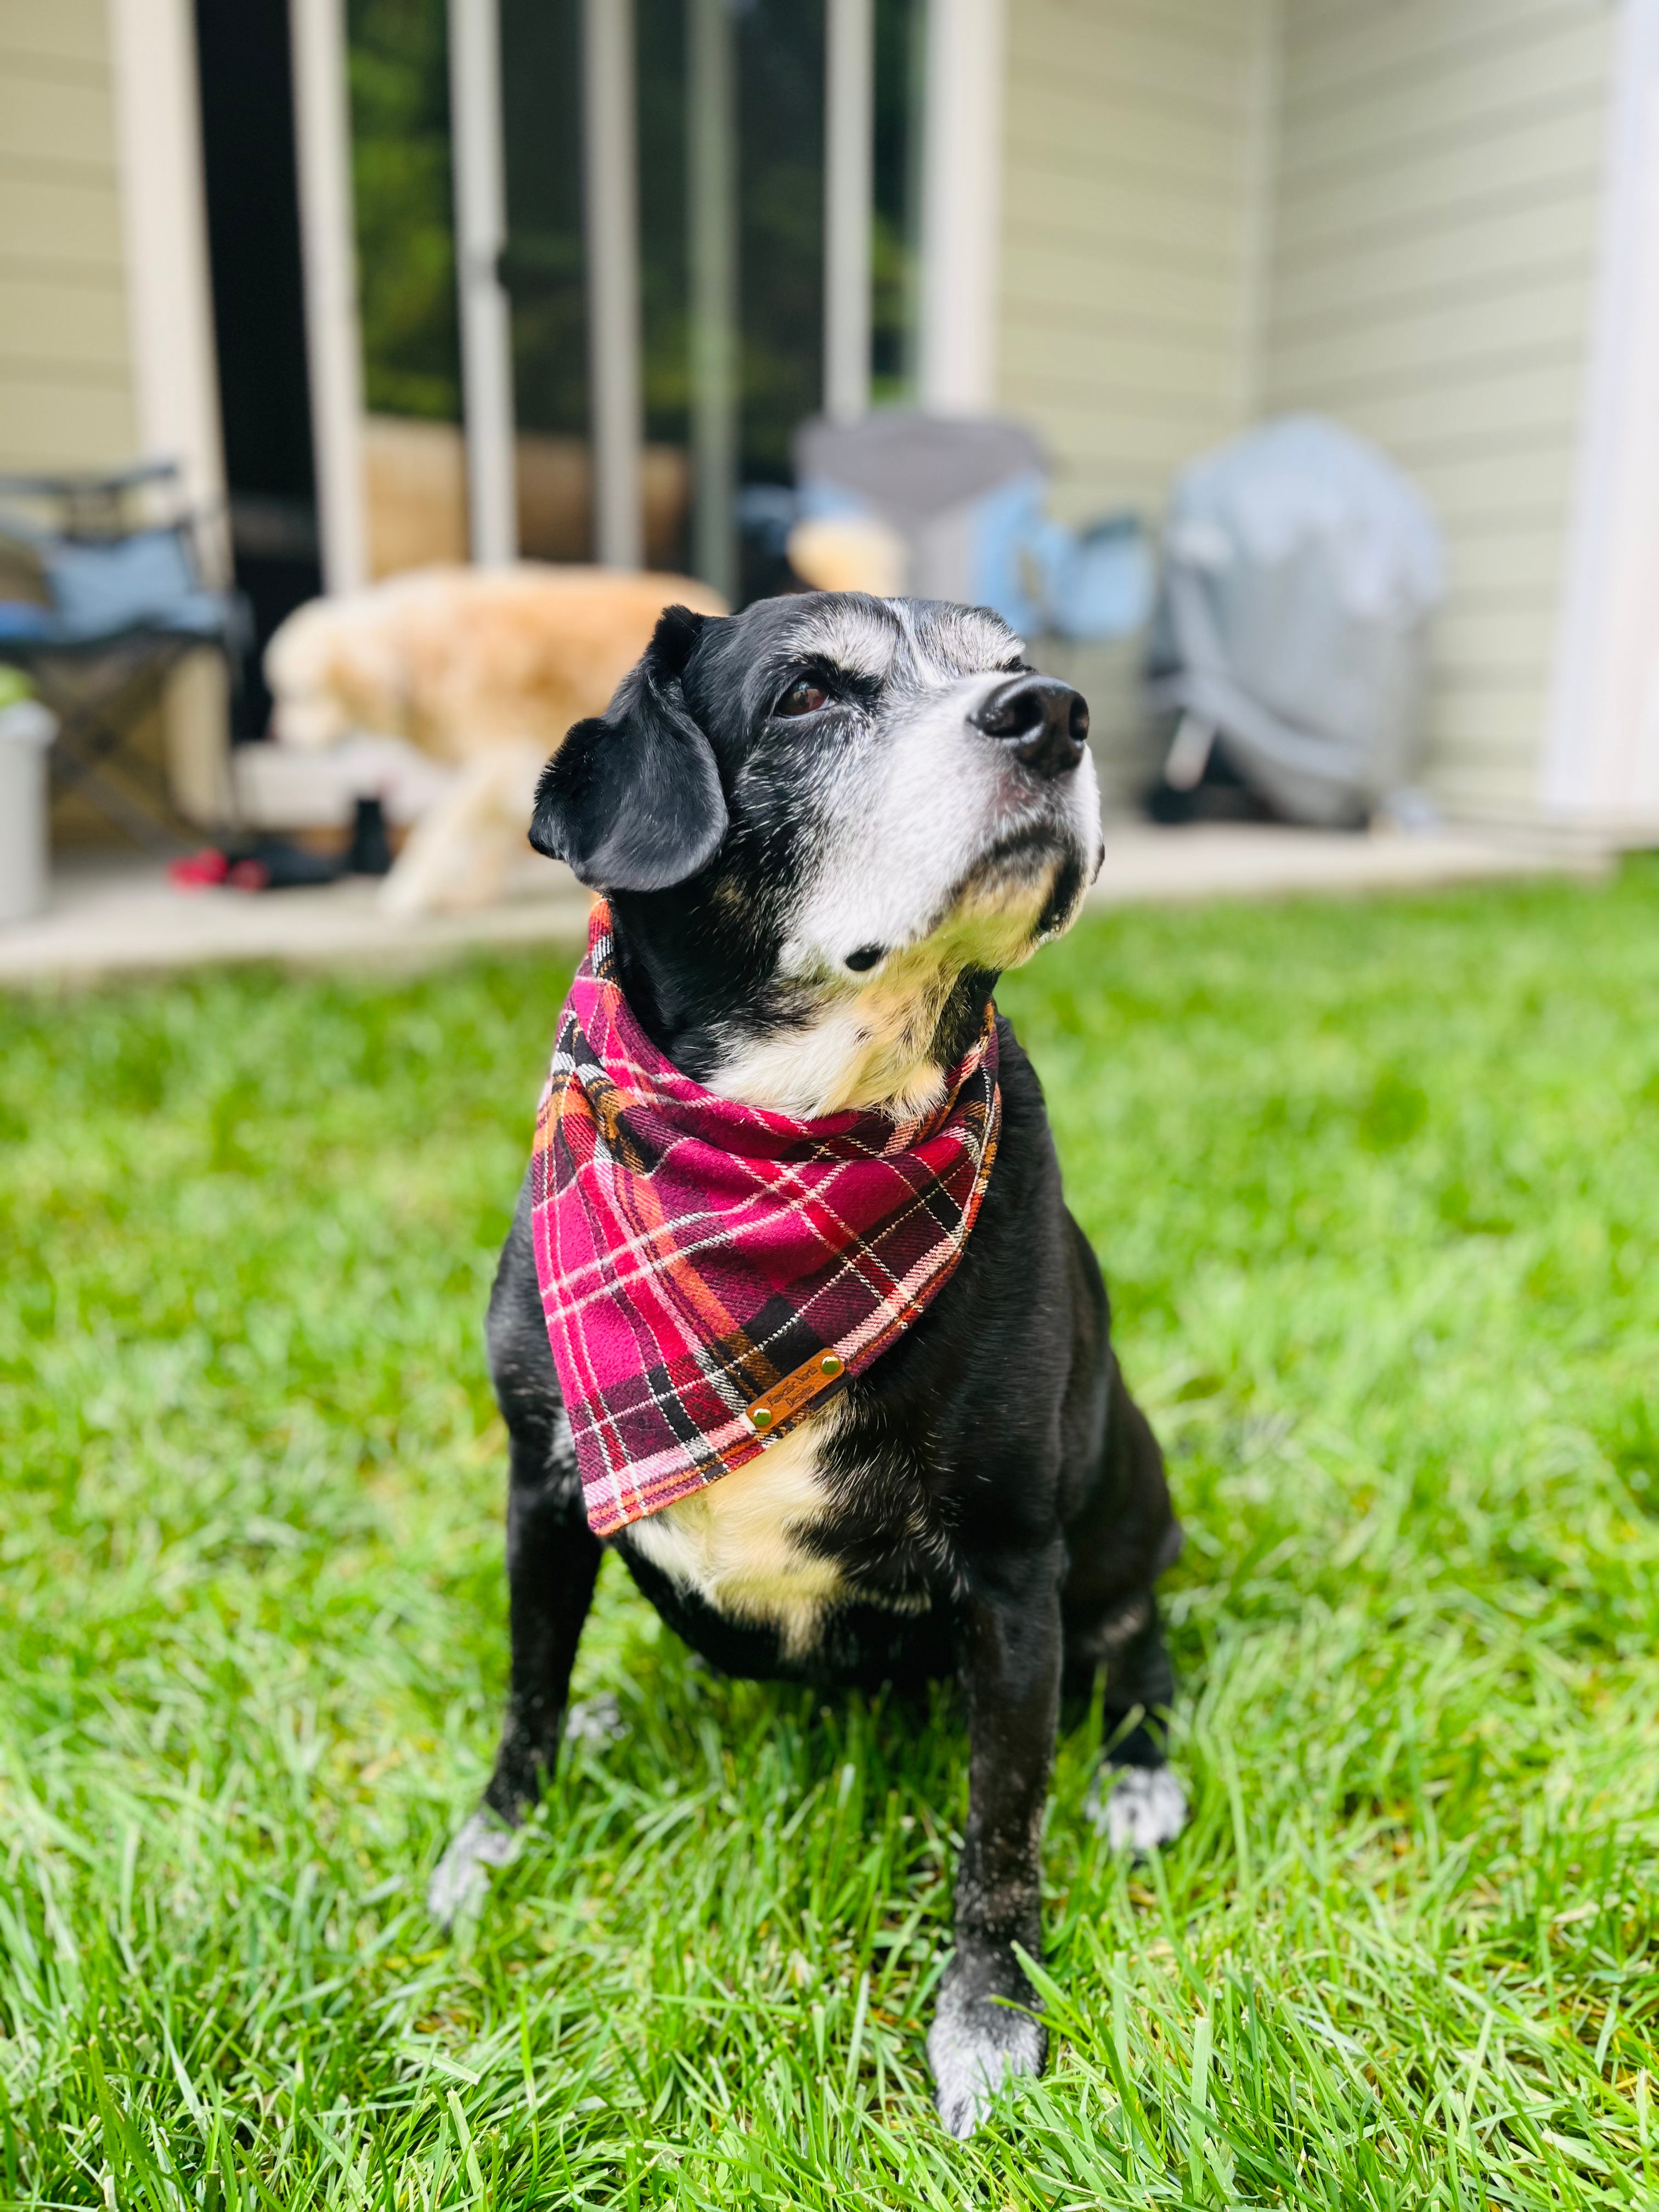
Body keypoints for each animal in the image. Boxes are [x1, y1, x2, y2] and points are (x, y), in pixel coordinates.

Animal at [429, 597, 1186, 2132]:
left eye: (1011, 659)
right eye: (805, 695)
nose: (1055, 712)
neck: (789, 1149)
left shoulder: (1013, 1574)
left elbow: (1001, 1828)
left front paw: (989, 2017)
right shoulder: (543, 1487)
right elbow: (529, 1687)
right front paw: (497, 1838)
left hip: (1129, 1505)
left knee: (1143, 1648)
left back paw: (1139, 1777)